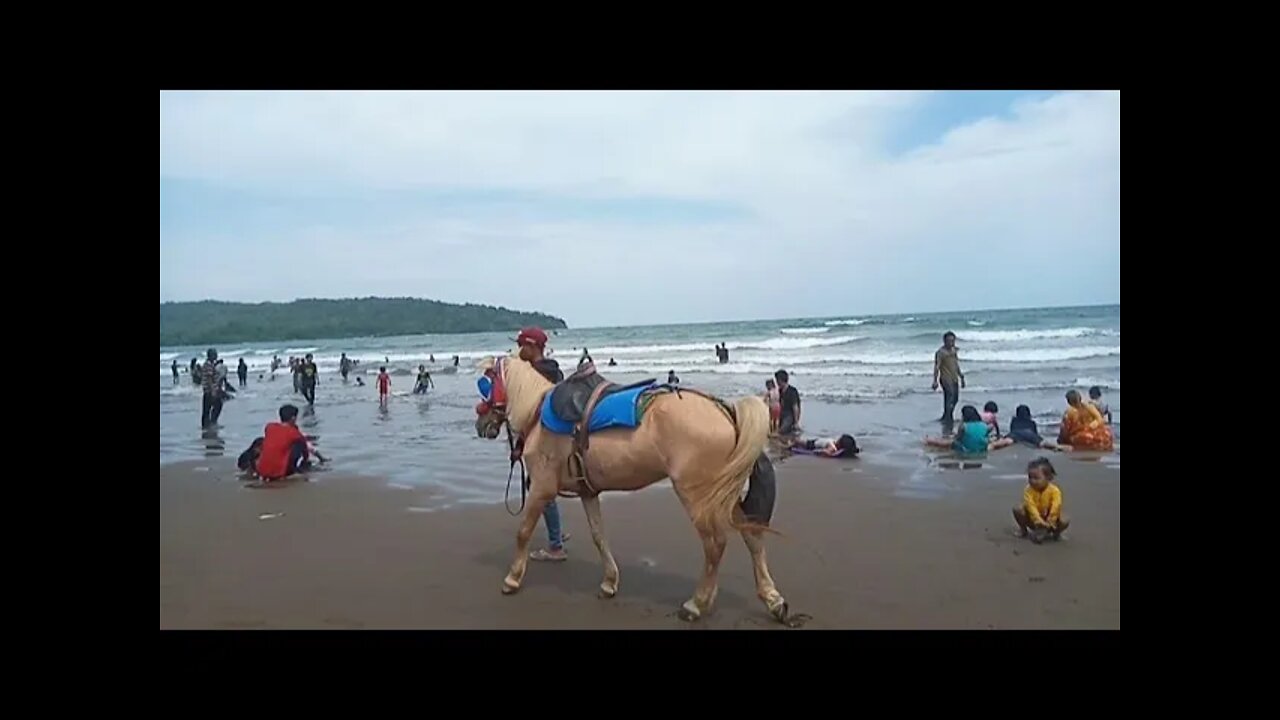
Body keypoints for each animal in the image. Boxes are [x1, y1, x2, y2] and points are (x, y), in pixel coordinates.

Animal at [476, 353, 803, 622]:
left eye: (485, 384)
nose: (481, 424)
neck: (537, 413)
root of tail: (726, 411)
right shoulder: (588, 492)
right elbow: (599, 537)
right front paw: (610, 582)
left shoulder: (542, 488)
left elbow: (523, 532)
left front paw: (512, 579)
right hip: (722, 492)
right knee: (752, 536)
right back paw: (772, 599)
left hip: (697, 494)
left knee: (715, 544)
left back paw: (697, 603)